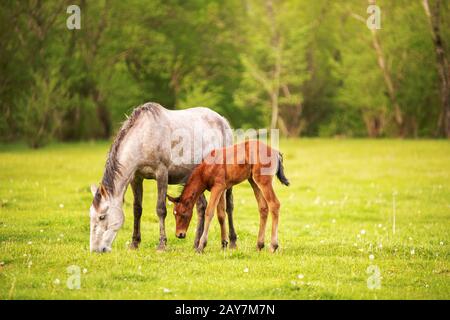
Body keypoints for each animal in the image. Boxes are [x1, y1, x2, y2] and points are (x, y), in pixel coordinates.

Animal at [88, 102, 236, 252]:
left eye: (102, 217)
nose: (95, 249)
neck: (144, 136)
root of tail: (222, 120)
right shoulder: (136, 178)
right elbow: (137, 209)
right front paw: (134, 243)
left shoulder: (162, 174)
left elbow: (161, 209)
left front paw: (162, 244)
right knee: (201, 206)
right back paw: (197, 244)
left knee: (228, 206)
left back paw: (232, 242)